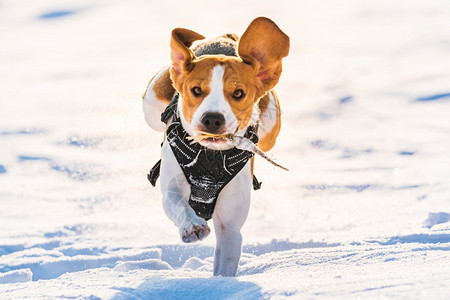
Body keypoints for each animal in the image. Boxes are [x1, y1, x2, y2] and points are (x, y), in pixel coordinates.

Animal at [142, 17, 288, 276]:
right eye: (196, 90)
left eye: (238, 93)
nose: (212, 118)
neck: (210, 157)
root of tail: (224, 38)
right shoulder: (171, 188)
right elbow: (178, 204)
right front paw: (192, 226)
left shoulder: (230, 227)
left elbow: (226, 260)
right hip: (151, 102)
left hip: (271, 128)